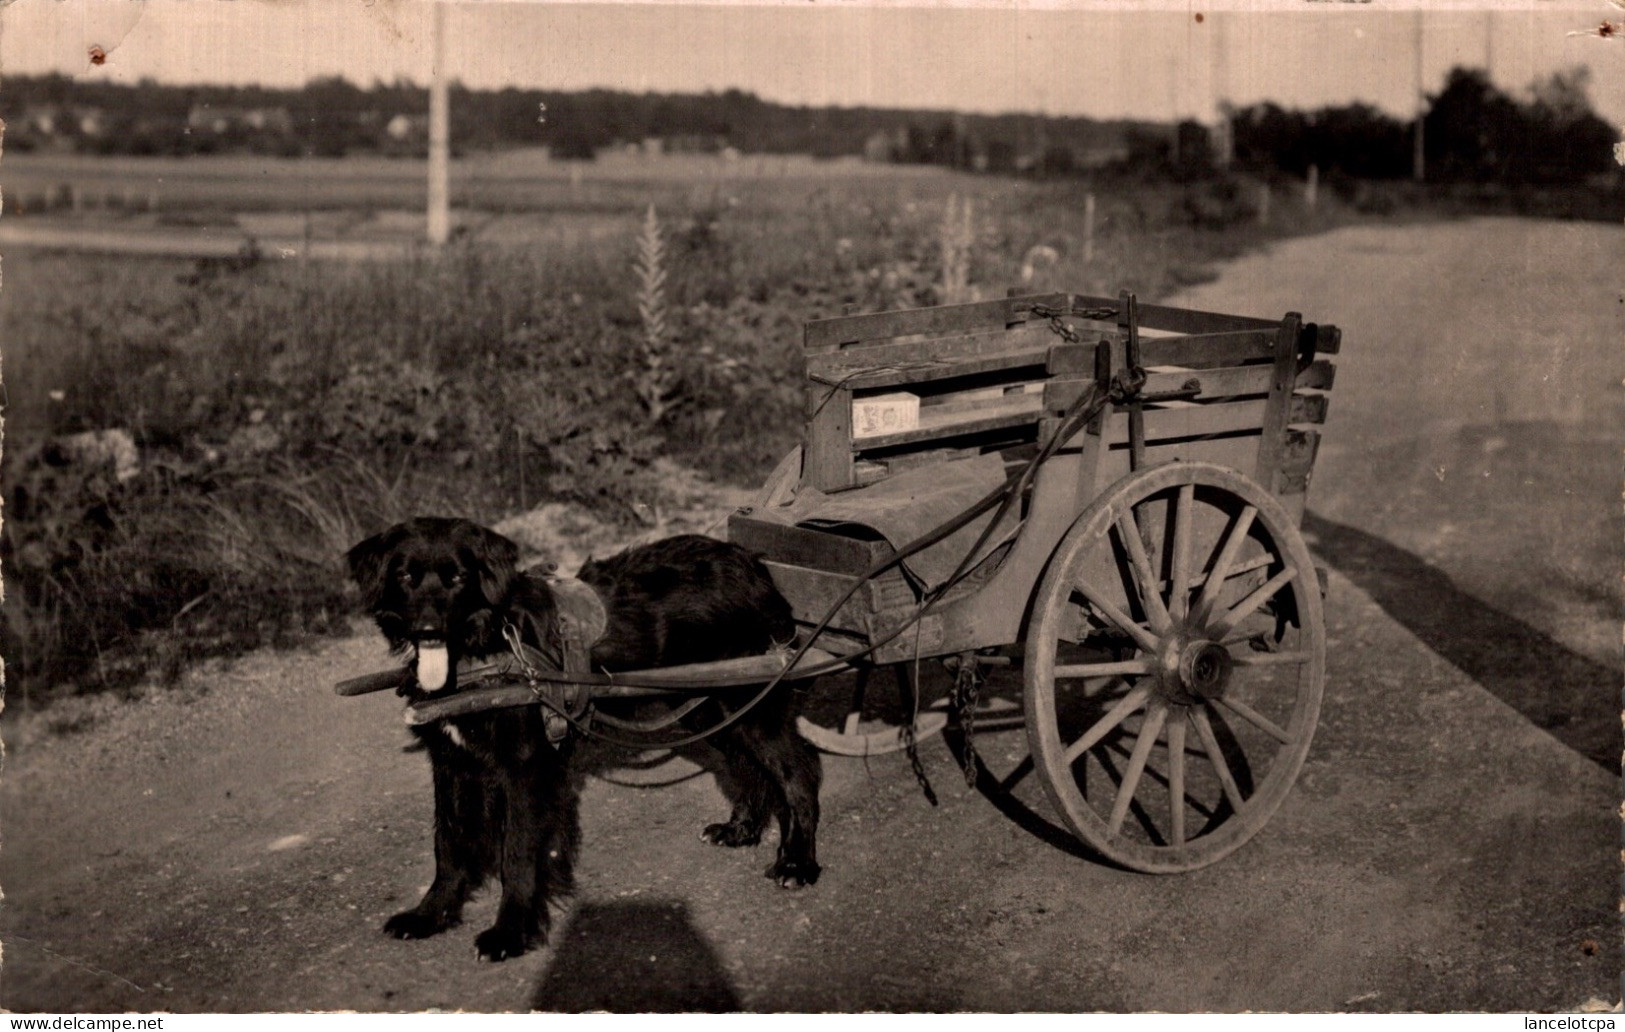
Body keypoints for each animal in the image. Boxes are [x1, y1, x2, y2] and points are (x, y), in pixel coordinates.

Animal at [347, 520, 819, 962]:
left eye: (458, 577)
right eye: (405, 576)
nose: (428, 630)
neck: (486, 647)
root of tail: (753, 565)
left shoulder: (527, 768)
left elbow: (516, 853)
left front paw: (510, 933)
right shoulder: (451, 763)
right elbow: (447, 845)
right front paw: (430, 915)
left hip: (750, 708)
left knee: (799, 770)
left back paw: (797, 862)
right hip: (709, 708)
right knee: (750, 768)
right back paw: (741, 830)